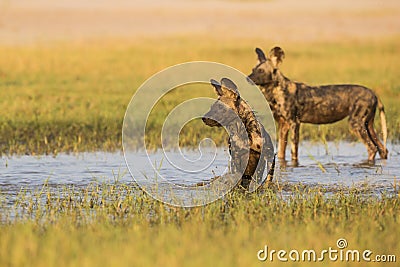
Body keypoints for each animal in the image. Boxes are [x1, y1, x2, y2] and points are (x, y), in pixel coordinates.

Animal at [247, 46, 388, 162]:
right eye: (253, 69)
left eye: (261, 71)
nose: (248, 78)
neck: (276, 92)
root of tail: (374, 93)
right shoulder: (283, 125)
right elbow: (282, 152)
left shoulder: (294, 123)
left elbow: (294, 152)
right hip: (368, 125)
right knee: (382, 149)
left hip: (355, 124)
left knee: (372, 148)